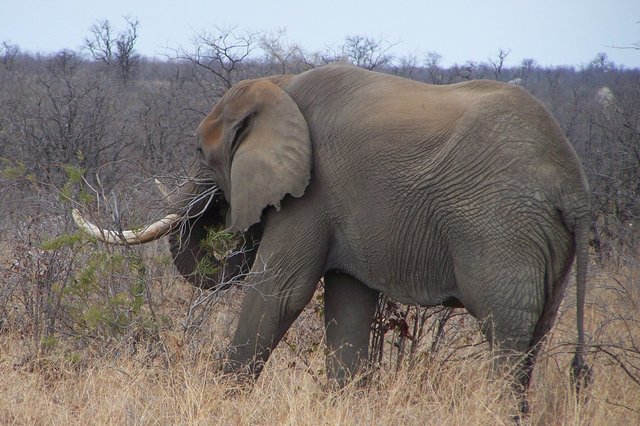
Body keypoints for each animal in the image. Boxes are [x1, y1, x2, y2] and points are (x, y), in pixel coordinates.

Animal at [74, 64, 592, 402]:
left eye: (201, 152)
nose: (228, 216)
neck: (280, 86)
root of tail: (575, 188)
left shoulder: (312, 193)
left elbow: (279, 291)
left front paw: (221, 399)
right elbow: (348, 305)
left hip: (503, 229)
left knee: (507, 334)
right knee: (535, 335)